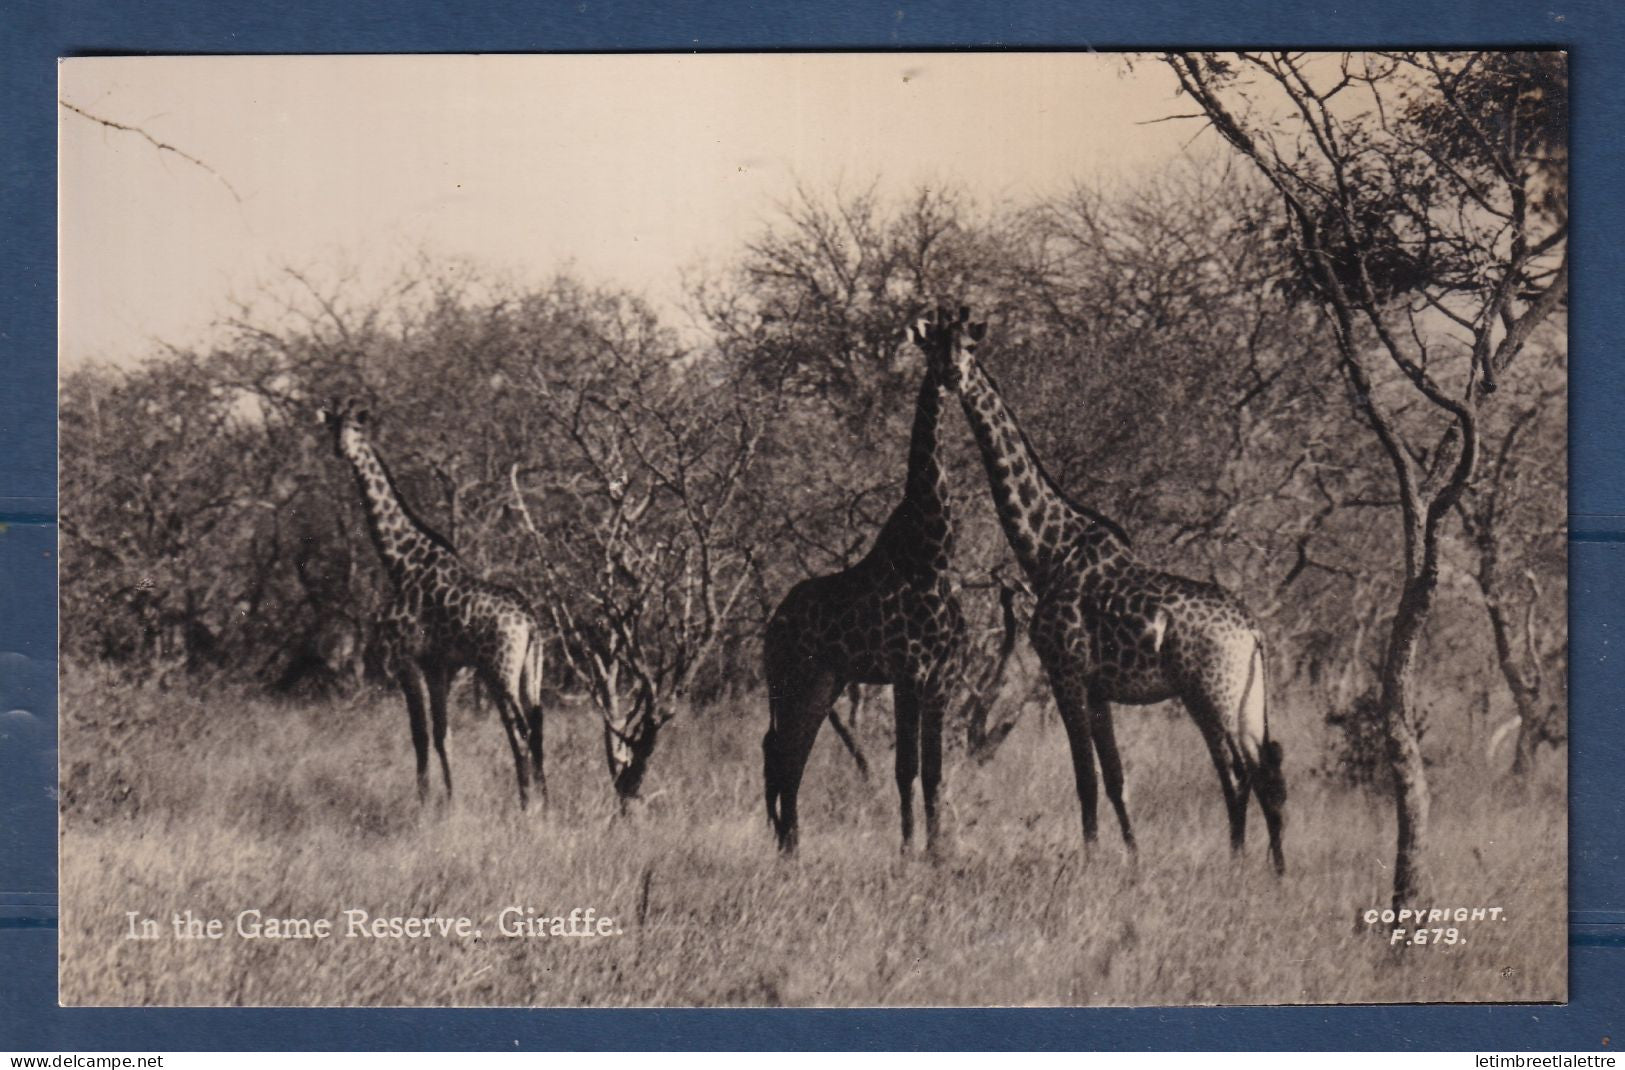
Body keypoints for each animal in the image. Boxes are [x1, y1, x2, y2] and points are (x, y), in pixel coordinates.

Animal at [317, 400, 548, 809]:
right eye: (332, 427)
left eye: (356, 429)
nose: (340, 450)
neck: (400, 563)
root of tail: (531, 622)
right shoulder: (438, 665)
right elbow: (444, 734)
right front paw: (452, 802)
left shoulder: (405, 660)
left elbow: (420, 735)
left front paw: (424, 803)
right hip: (528, 671)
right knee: (536, 729)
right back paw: (545, 805)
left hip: (499, 670)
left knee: (520, 731)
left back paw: (527, 807)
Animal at [762, 325, 967, 853]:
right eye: (932, 344)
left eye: (964, 344)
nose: (953, 376)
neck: (932, 553)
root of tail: (772, 623)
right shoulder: (909, 671)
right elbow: (905, 769)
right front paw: (907, 851)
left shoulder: (942, 676)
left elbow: (934, 772)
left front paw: (937, 852)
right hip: (793, 678)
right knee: (782, 752)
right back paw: (789, 848)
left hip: (825, 681)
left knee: (785, 751)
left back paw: (789, 846)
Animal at [917, 307, 1286, 873]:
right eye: (937, 345)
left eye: (970, 347)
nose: (953, 375)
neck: (1047, 550)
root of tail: (1253, 633)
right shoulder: (1095, 688)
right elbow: (1114, 778)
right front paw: (1132, 860)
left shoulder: (1065, 673)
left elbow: (1085, 779)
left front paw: (1090, 861)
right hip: (1245, 700)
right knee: (1261, 770)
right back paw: (1271, 870)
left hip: (1209, 694)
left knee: (1239, 773)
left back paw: (1240, 863)